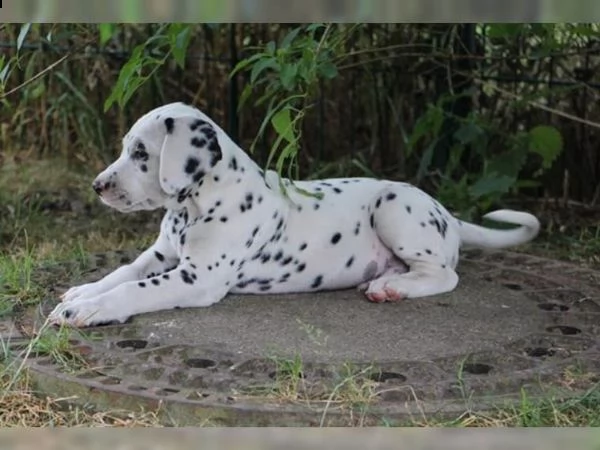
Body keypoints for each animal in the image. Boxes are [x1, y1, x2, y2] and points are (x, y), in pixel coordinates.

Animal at [49, 101, 540, 326]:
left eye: (140, 153)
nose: (98, 186)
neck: (194, 206)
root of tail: (448, 215)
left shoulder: (197, 278)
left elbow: (133, 290)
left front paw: (89, 310)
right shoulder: (161, 255)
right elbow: (123, 272)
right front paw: (84, 292)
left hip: (394, 208)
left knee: (444, 274)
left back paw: (394, 287)